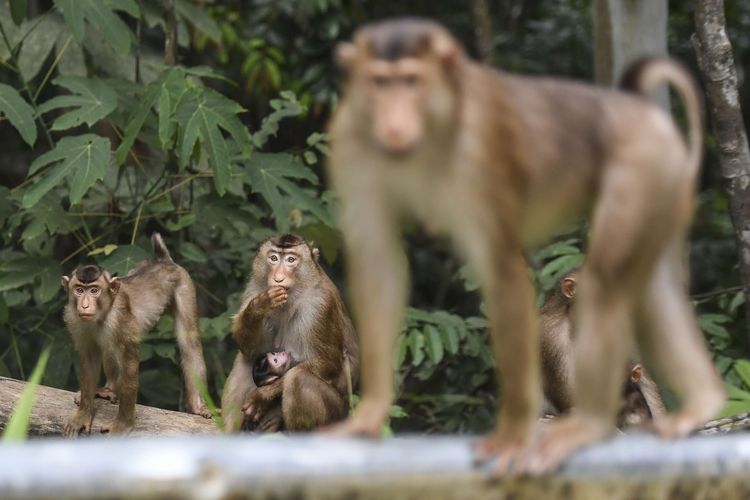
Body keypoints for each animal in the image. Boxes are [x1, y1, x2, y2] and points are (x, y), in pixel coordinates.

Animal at [61, 232, 212, 436]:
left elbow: (130, 362)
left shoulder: (120, 318)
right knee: (108, 347)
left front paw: (123, 425)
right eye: (79, 290)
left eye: (94, 290)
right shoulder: (75, 320)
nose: (84, 305)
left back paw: (197, 405)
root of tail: (162, 261)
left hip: (184, 283)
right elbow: (89, 358)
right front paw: (84, 413)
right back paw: (108, 389)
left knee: (189, 340)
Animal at [220, 234, 362, 434]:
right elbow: (252, 349)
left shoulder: (321, 304)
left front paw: (264, 395)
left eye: (291, 260)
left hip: (336, 414)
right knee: (245, 360)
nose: (278, 278)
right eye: (273, 258)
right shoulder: (255, 288)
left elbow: (328, 362)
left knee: (298, 378)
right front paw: (260, 305)